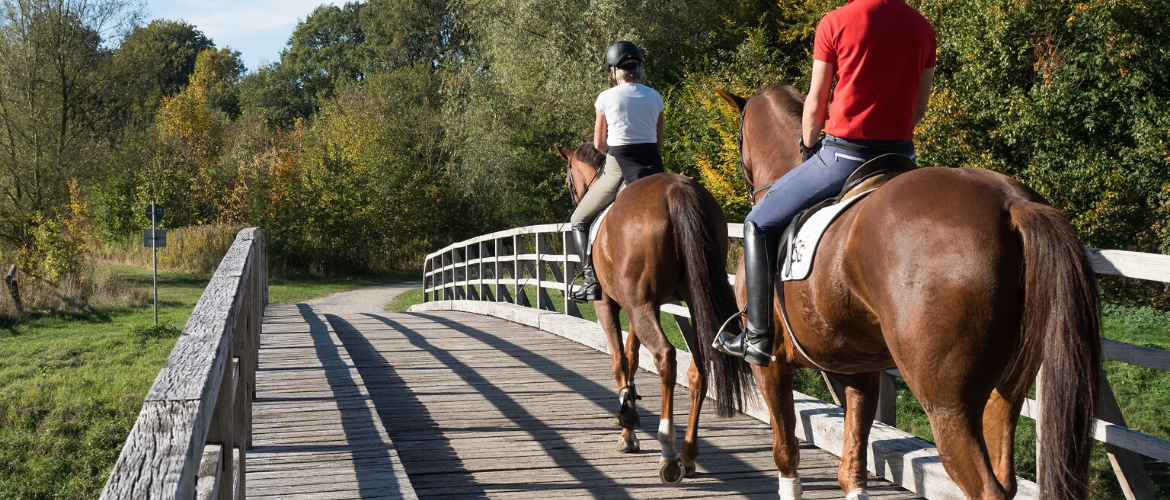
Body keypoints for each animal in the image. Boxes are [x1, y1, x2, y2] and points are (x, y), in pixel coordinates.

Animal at [554, 138, 748, 482]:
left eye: (568, 181)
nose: (575, 195)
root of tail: (676, 191)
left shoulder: (610, 304)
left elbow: (619, 360)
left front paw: (627, 427)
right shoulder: (641, 306)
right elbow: (632, 357)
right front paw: (629, 420)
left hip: (639, 305)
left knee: (665, 357)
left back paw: (668, 452)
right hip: (689, 299)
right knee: (698, 367)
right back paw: (688, 453)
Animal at [711, 84, 1104, 498]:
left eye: (738, 138)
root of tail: (1010, 202)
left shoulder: (770, 367)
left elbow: (786, 449)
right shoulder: (857, 369)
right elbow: (853, 462)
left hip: (948, 405)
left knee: (985, 486)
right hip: (1006, 389)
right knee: (1004, 473)